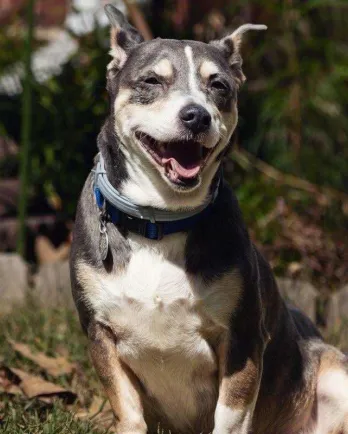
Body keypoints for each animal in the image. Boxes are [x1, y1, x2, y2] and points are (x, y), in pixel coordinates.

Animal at [68, 5, 348, 432]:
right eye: (152, 80)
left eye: (218, 86)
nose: (196, 116)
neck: (160, 221)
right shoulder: (99, 333)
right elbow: (127, 408)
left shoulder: (243, 338)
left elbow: (229, 415)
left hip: (336, 371)